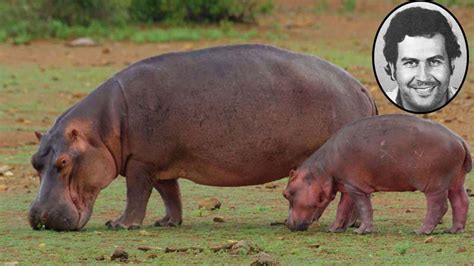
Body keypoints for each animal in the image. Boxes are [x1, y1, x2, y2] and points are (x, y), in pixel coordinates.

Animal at [28, 44, 378, 231]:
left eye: (63, 161)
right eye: (35, 162)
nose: (38, 215)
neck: (102, 128)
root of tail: (361, 86)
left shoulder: (141, 163)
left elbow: (136, 195)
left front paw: (120, 224)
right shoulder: (160, 165)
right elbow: (170, 194)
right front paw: (167, 222)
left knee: (348, 194)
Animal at [284, 113, 472, 234]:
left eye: (286, 193)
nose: (287, 224)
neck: (321, 169)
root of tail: (460, 140)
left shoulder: (356, 187)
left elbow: (363, 207)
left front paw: (361, 231)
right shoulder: (347, 186)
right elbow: (342, 208)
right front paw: (334, 229)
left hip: (435, 184)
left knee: (438, 206)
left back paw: (421, 231)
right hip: (456, 180)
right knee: (461, 200)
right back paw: (453, 230)